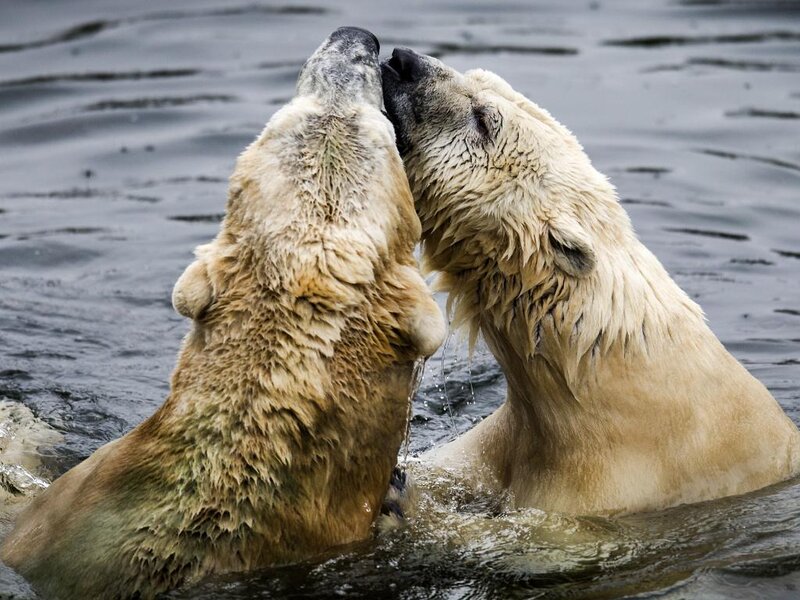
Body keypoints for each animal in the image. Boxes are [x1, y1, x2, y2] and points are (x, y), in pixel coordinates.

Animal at [380, 47, 800, 516]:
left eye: (485, 119)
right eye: (478, 76)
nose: (403, 59)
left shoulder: (614, 478)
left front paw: (400, 498)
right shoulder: (499, 442)